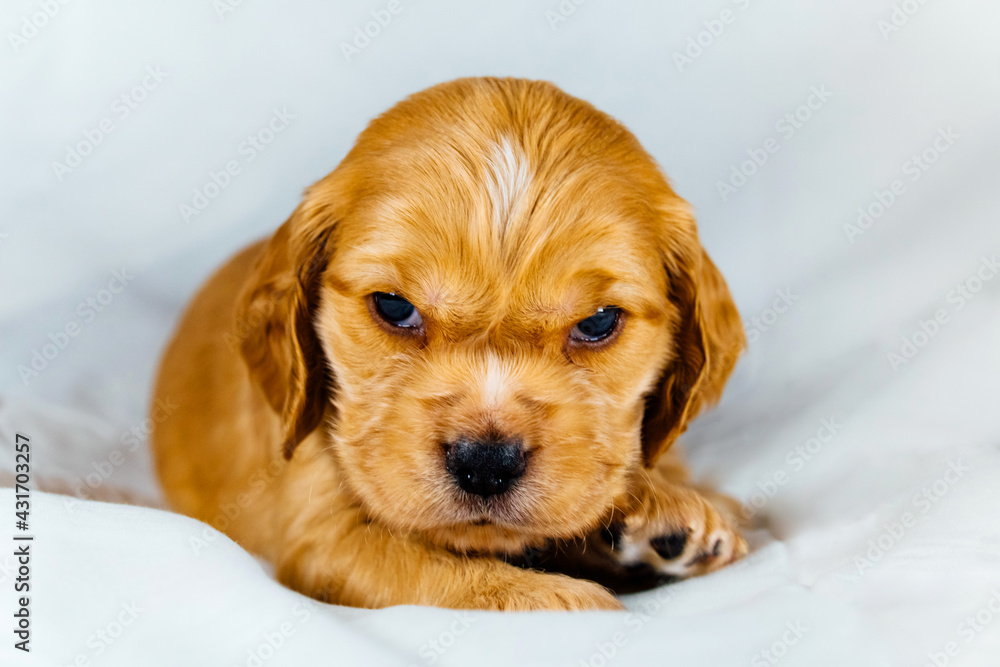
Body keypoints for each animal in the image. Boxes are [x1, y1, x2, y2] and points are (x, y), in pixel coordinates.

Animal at [152, 77, 748, 612]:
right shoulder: (322, 539)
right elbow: (438, 574)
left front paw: (665, 510)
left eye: (599, 321)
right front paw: (562, 597)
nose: (485, 463)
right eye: (394, 307)